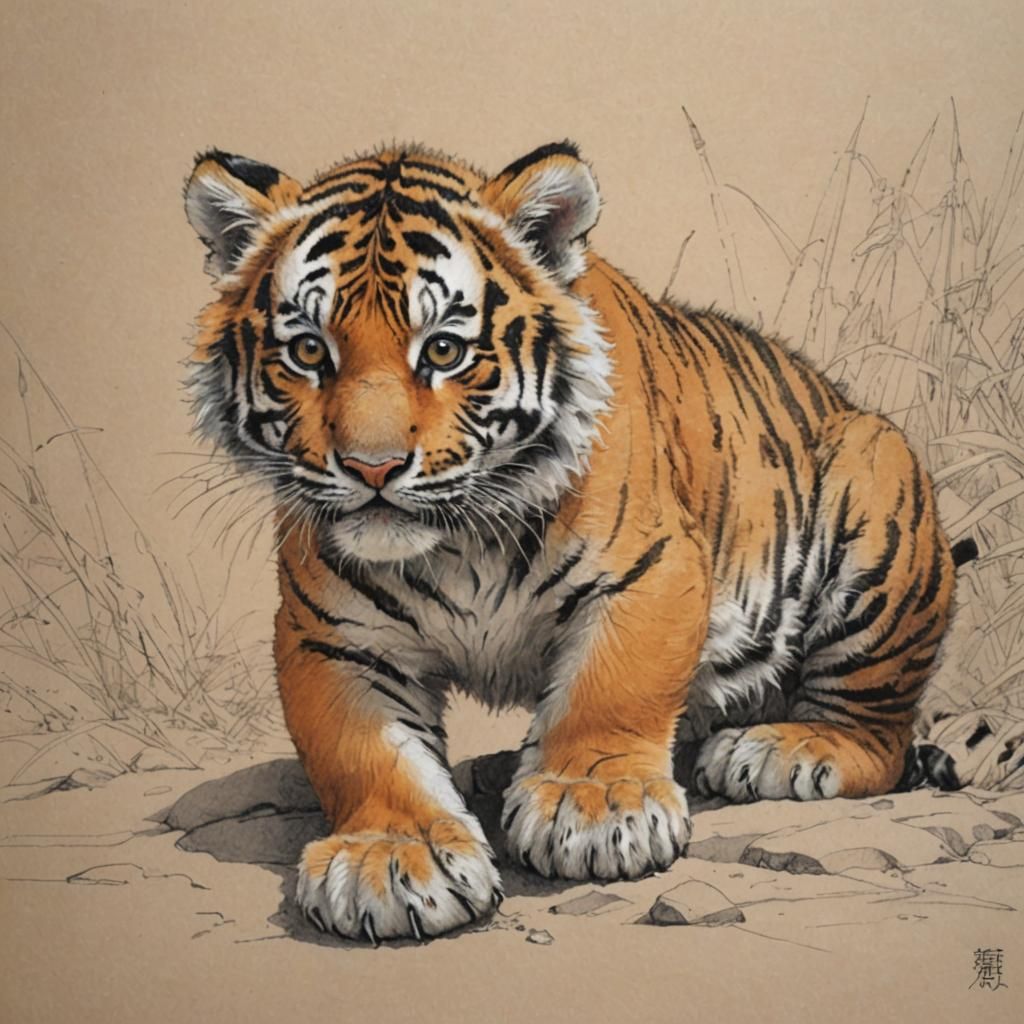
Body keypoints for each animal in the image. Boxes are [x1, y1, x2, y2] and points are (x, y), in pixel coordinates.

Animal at [183, 140, 970, 943]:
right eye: (309, 351)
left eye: (443, 350)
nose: (372, 467)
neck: (457, 541)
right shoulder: (329, 634)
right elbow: (363, 750)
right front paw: (393, 857)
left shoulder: (652, 571)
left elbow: (611, 689)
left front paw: (595, 805)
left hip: (876, 494)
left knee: (877, 732)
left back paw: (784, 748)